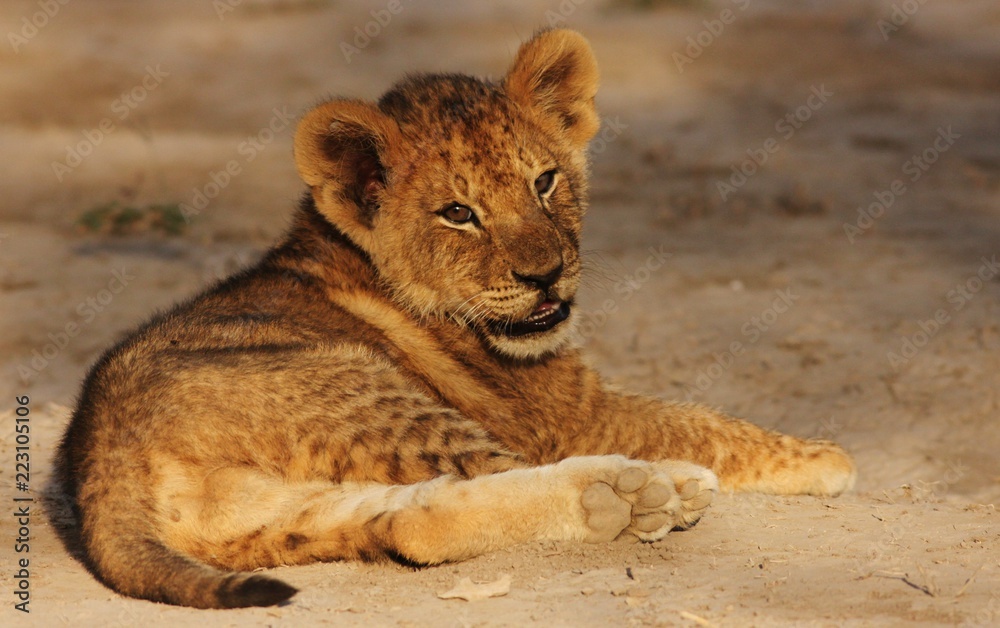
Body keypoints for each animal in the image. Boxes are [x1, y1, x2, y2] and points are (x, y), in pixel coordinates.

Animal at [55, 29, 855, 609]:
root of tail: (102, 457)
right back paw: (642, 490)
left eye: (545, 180)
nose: (545, 275)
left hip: (277, 516)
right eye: (458, 214)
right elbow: (697, 422)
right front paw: (822, 456)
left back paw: (621, 504)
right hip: (366, 389)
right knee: (506, 470)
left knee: (414, 522)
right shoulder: (569, 415)